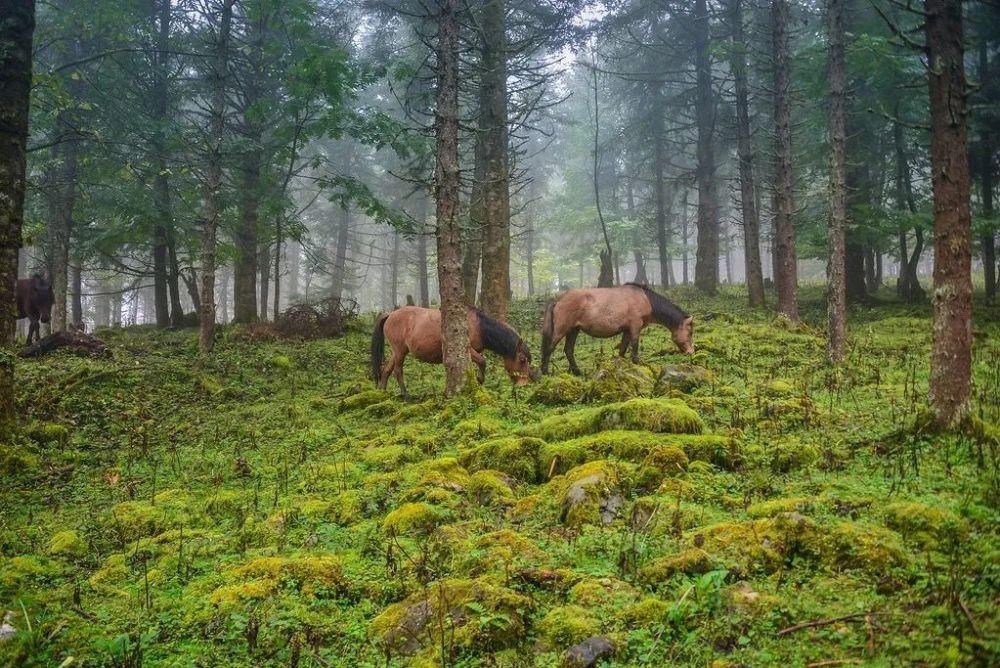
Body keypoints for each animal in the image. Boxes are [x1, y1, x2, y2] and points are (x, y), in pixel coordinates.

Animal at [370, 306, 540, 400]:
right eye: (522, 360)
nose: (524, 384)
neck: (478, 326)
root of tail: (390, 314)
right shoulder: (468, 349)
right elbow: (483, 361)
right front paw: (479, 380)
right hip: (400, 350)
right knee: (398, 371)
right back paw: (406, 396)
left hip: (396, 351)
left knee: (386, 369)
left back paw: (381, 392)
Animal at [540, 282, 696, 376]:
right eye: (690, 332)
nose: (691, 351)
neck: (645, 299)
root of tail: (558, 299)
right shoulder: (635, 327)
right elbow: (634, 348)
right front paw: (637, 364)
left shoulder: (626, 329)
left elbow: (622, 350)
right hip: (562, 330)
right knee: (549, 348)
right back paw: (545, 372)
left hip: (573, 330)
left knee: (568, 350)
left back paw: (578, 372)